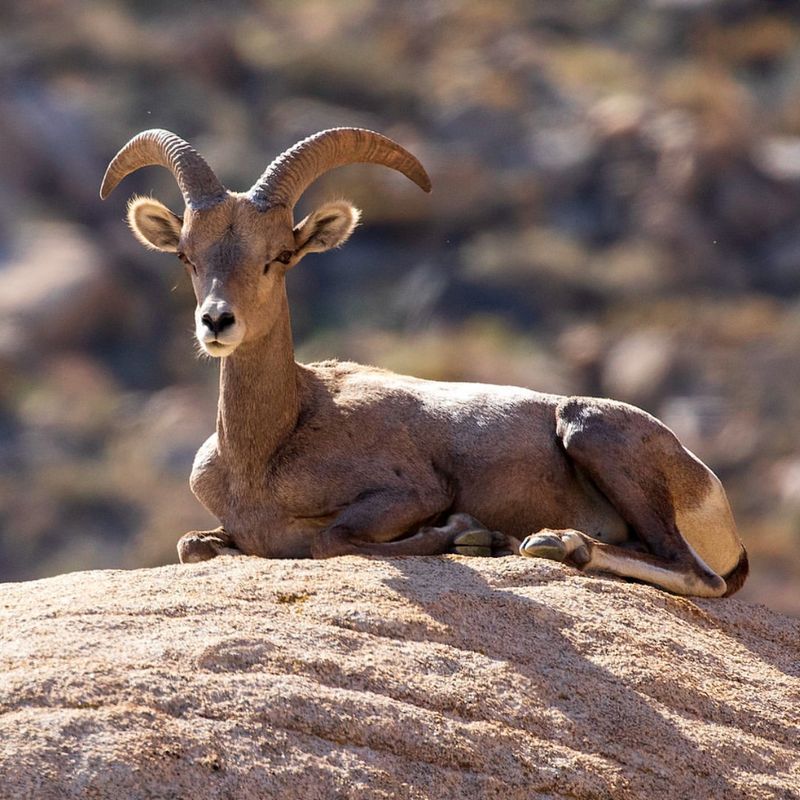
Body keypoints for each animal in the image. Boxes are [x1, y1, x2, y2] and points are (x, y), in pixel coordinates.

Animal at [101, 128, 752, 596]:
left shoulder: (411, 493)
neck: (267, 446)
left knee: (697, 575)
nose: (216, 322)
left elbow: (331, 540)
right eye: (187, 255)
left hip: (590, 429)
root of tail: (711, 495)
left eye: (280, 255)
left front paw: (468, 535)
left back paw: (558, 545)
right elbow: (192, 545)